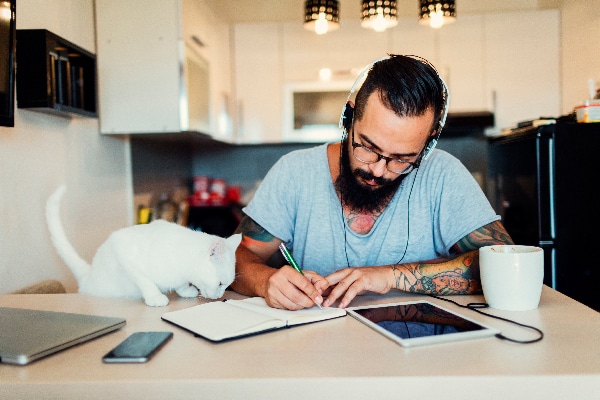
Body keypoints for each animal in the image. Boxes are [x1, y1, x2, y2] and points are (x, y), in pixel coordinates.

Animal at [45, 186, 241, 308]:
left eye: (227, 285)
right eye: (221, 283)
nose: (220, 296)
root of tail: (88, 275)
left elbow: (179, 283)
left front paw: (185, 289)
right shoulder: (122, 250)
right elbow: (145, 280)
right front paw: (155, 297)